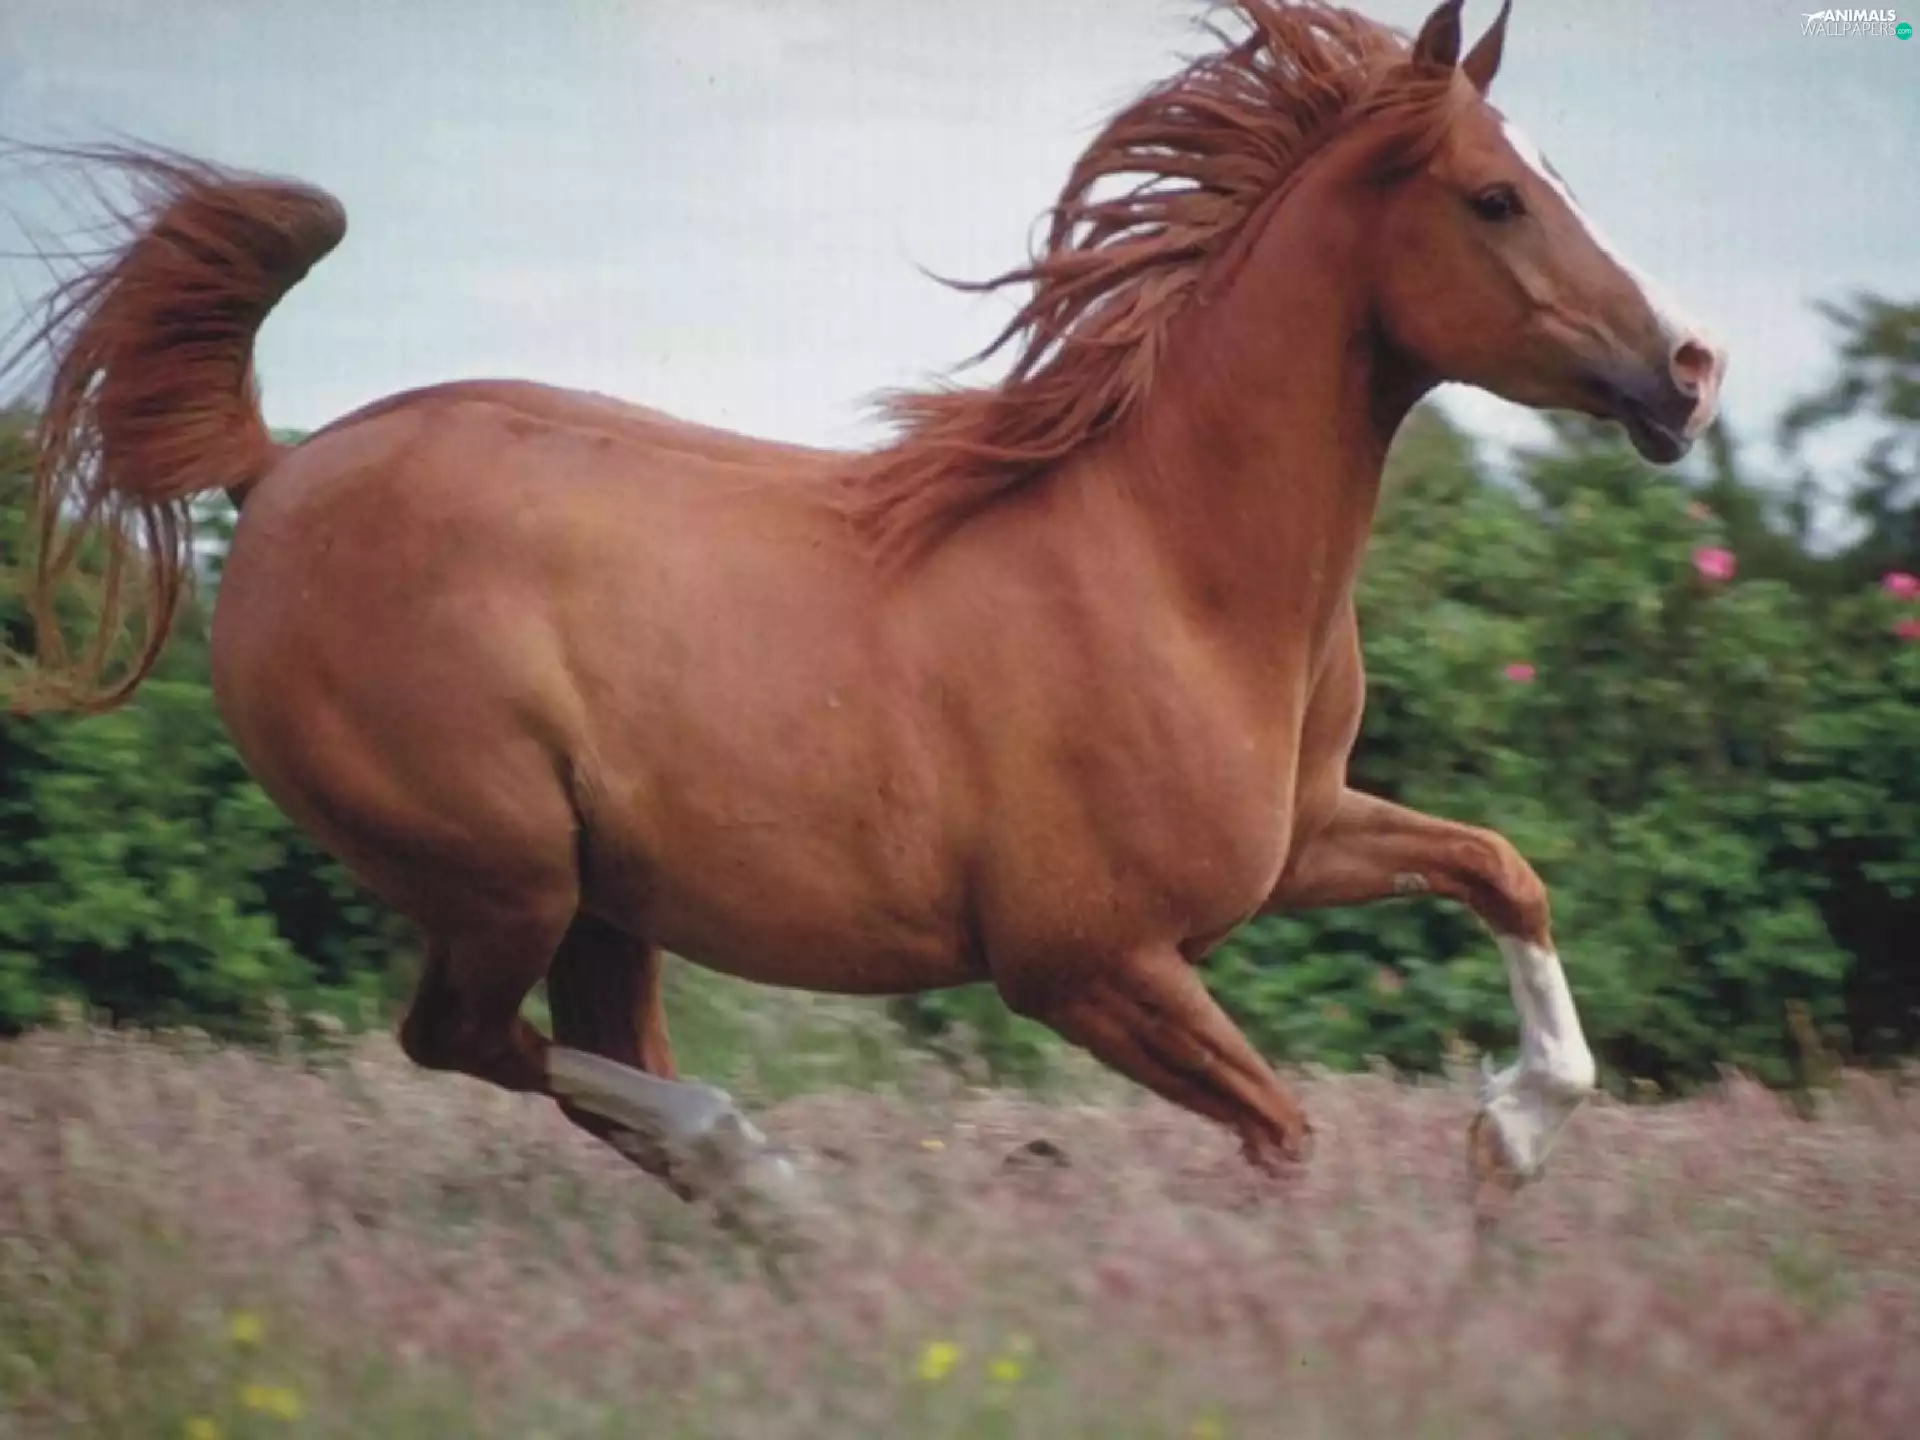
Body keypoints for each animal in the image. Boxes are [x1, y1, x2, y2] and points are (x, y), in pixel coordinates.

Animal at [6, 0, 1724, 1240]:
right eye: (1495, 197)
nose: (1690, 370)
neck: (1170, 565)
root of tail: (279, 471)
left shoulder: (1297, 842)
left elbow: (1502, 871)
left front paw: (1511, 1137)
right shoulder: (1085, 964)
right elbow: (1283, 1128)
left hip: (601, 898)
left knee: (581, 1059)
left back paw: (759, 1213)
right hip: (501, 873)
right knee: (475, 1044)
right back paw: (770, 1181)